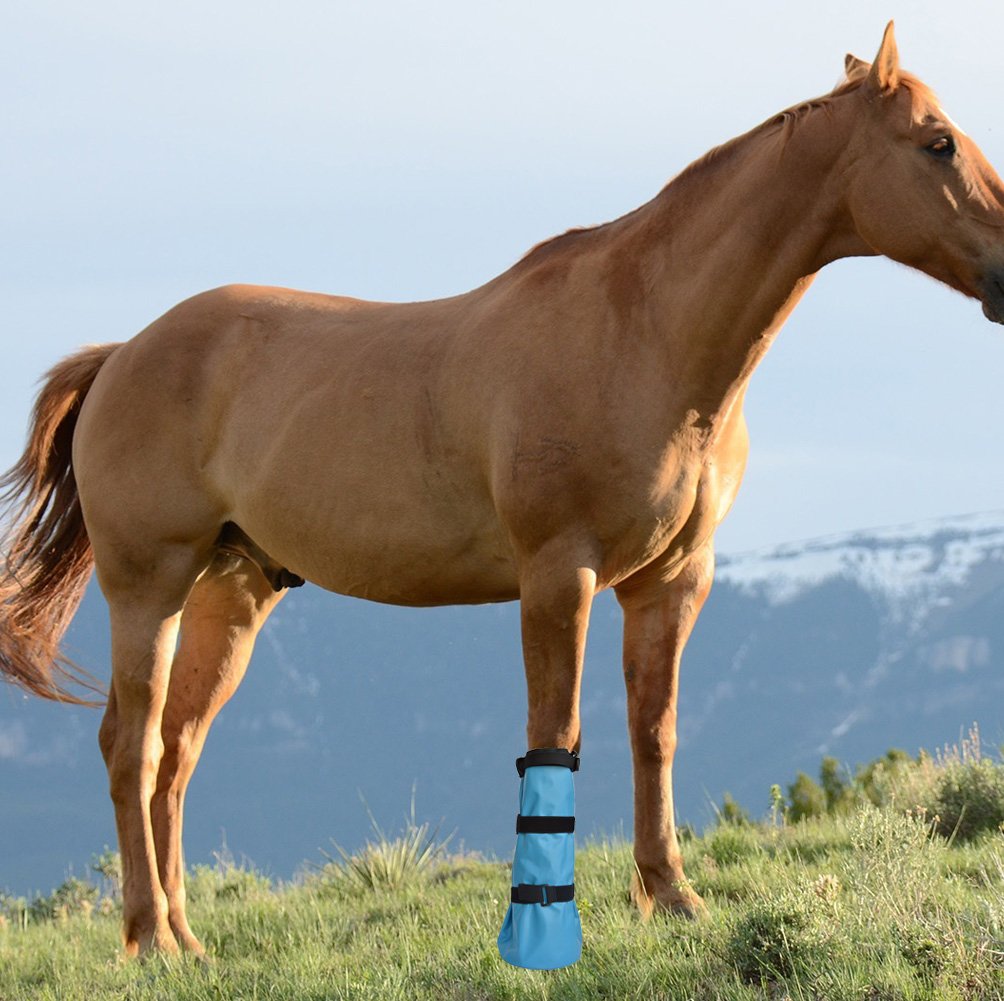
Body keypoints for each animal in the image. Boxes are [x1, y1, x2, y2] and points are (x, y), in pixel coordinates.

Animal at [2, 22, 1003, 957]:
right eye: (938, 142)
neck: (642, 333)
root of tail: (122, 353)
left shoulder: (672, 580)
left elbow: (654, 732)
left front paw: (672, 896)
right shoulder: (559, 575)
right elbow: (557, 732)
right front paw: (544, 920)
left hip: (233, 593)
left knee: (175, 752)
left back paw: (186, 936)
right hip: (150, 586)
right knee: (131, 747)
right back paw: (149, 940)